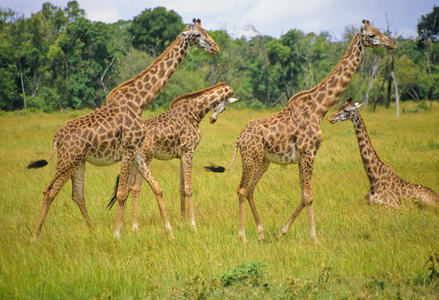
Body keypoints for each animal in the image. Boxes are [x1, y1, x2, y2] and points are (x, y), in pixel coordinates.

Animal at [27, 18, 220, 239]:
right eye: (197, 35)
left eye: (206, 31)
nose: (215, 47)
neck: (140, 102)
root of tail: (57, 136)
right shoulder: (127, 149)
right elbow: (121, 192)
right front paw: (117, 234)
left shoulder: (136, 150)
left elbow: (155, 187)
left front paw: (170, 233)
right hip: (68, 160)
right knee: (49, 191)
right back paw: (35, 236)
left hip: (79, 162)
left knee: (77, 194)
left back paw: (92, 230)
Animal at [106, 82, 237, 232]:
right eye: (220, 104)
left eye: (225, 107)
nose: (213, 119)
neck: (194, 112)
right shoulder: (189, 150)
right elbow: (189, 188)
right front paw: (193, 225)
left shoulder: (182, 154)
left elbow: (181, 188)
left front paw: (183, 221)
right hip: (146, 156)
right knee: (135, 187)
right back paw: (135, 227)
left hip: (134, 160)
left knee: (126, 189)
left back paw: (122, 225)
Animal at [205, 19, 398, 243]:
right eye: (372, 35)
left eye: (380, 31)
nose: (392, 45)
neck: (319, 109)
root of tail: (238, 139)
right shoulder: (309, 153)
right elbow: (308, 196)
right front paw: (314, 237)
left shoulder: (302, 157)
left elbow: (304, 195)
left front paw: (281, 231)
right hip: (251, 157)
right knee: (242, 189)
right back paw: (242, 236)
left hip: (263, 160)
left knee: (251, 189)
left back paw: (261, 232)